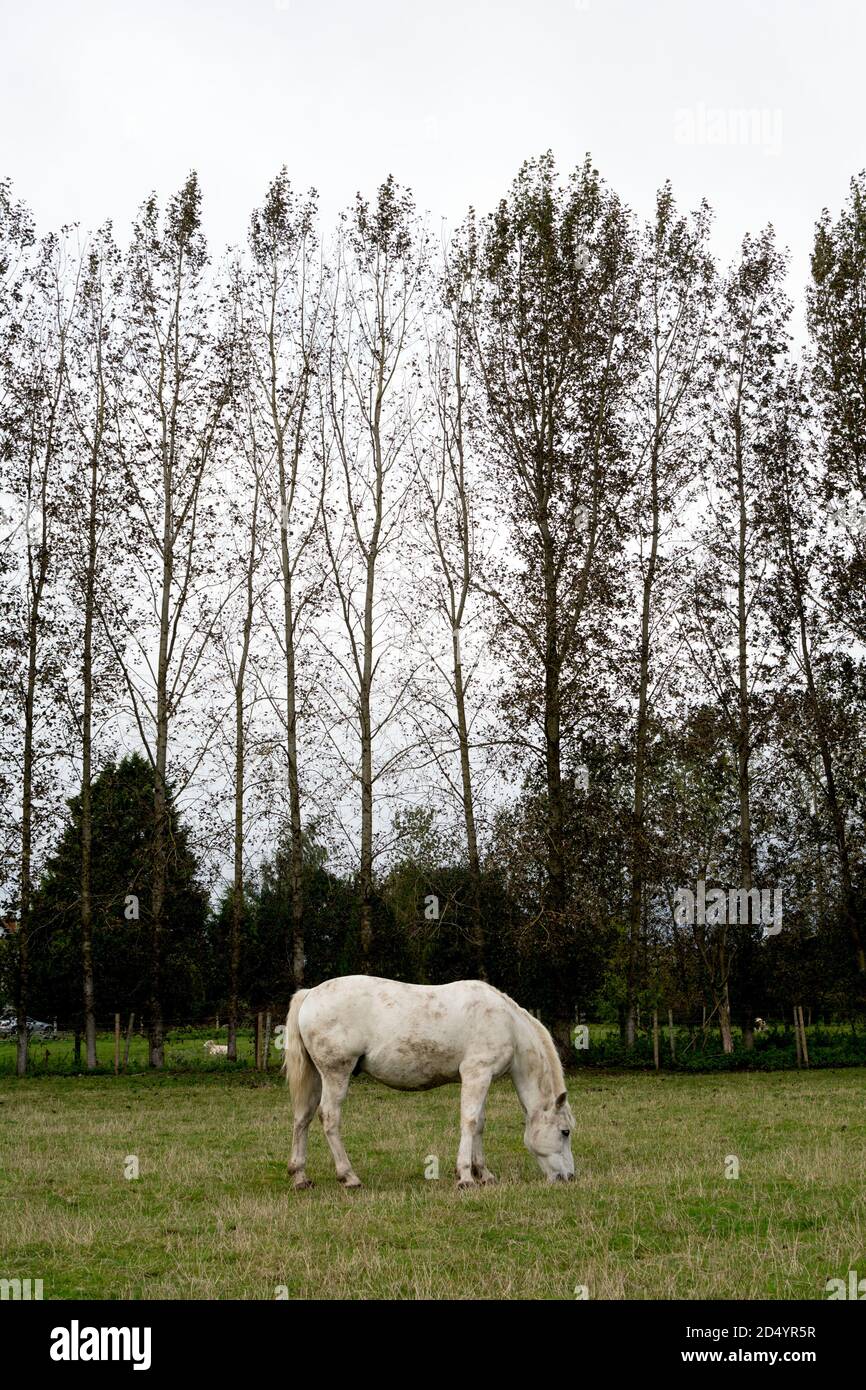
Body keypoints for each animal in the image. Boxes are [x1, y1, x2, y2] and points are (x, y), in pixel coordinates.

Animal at [282, 975, 575, 1189]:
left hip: (316, 1077)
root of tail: (310, 993)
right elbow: (469, 1122)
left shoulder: (482, 1078)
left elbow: (479, 1124)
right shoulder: (477, 1074)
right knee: (329, 1117)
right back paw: (349, 1176)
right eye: (565, 1132)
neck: (507, 1024)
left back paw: (300, 1176)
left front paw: (484, 1174)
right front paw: (465, 1177)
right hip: (336, 1074)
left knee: (303, 1117)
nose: (570, 1177)